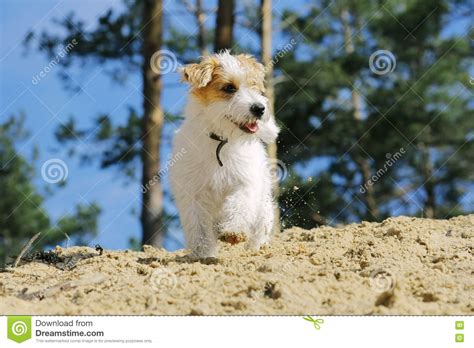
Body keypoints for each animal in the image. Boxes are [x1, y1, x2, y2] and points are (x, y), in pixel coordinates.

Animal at [170, 51, 280, 258]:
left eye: (253, 85)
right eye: (229, 88)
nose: (259, 108)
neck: (220, 141)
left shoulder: (244, 184)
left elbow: (240, 205)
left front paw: (233, 232)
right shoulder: (193, 194)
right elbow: (198, 227)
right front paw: (203, 253)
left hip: (263, 208)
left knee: (259, 230)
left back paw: (257, 248)